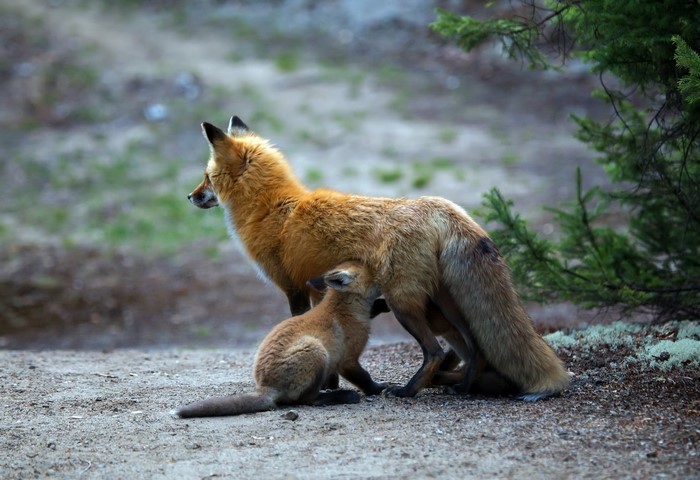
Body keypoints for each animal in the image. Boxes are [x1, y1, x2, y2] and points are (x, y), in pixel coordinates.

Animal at [176, 262, 387, 418]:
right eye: (374, 273)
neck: (344, 311)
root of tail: (266, 386)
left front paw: (382, 306)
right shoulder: (347, 360)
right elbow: (365, 378)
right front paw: (380, 389)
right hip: (316, 351)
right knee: (307, 400)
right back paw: (342, 396)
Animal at [187, 116, 570, 401]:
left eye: (207, 177)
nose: (190, 196)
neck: (272, 208)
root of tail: (438, 205)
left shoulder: (293, 288)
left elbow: (304, 325)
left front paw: (330, 386)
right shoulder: (316, 286)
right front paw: (330, 383)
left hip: (404, 302)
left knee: (434, 351)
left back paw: (409, 391)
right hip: (442, 303)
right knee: (476, 347)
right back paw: (464, 387)